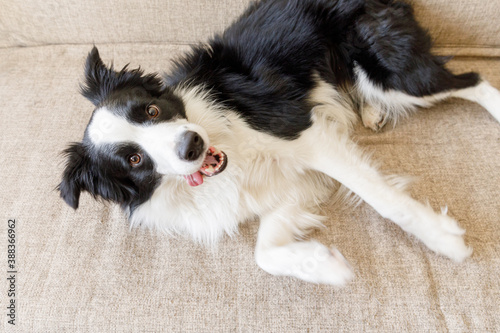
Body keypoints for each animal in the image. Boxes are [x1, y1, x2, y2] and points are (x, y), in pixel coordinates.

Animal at [59, 0, 500, 286]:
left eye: (150, 110)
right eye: (133, 160)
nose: (191, 145)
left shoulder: (302, 132)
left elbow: (385, 200)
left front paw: (445, 240)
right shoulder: (290, 184)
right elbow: (264, 253)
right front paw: (326, 265)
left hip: (392, 71)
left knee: (472, 80)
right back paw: (371, 111)